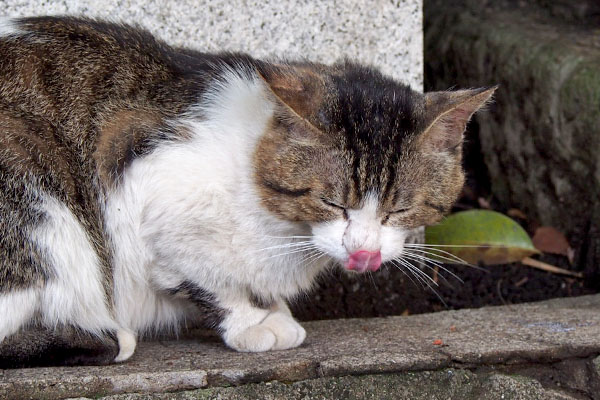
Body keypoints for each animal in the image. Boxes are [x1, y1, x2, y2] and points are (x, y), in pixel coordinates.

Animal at [0, 14, 496, 366]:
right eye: (332, 202)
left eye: (400, 209)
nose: (364, 252)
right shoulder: (149, 195)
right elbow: (207, 279)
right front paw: (250, 320)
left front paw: (273, 308)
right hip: (36, 191)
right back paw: (106, 338)